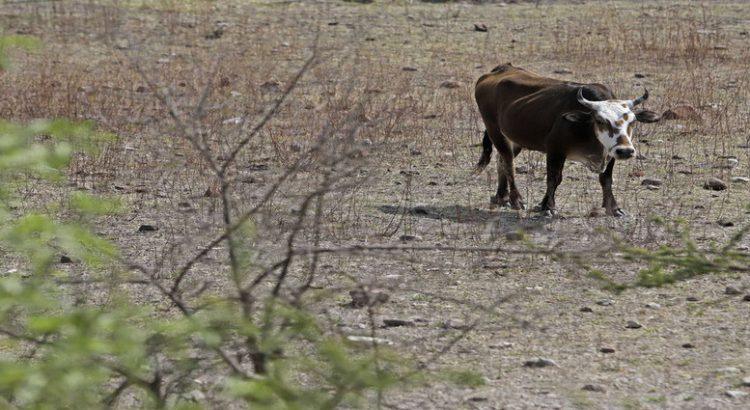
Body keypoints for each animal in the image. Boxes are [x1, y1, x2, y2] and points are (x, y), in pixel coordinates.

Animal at [476, 62, 656, 216]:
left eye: (632, 121)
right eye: (600, 121)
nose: (625, 151)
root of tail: (500, 69)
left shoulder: (610, 154)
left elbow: (606, 179)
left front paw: (614, 208)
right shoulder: (555, 150)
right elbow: (554, 179)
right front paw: (548, 206)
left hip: (514, 138)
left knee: (501, 161)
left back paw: (502, 197)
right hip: (495, 130)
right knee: (508, 162)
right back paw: (515, 199)